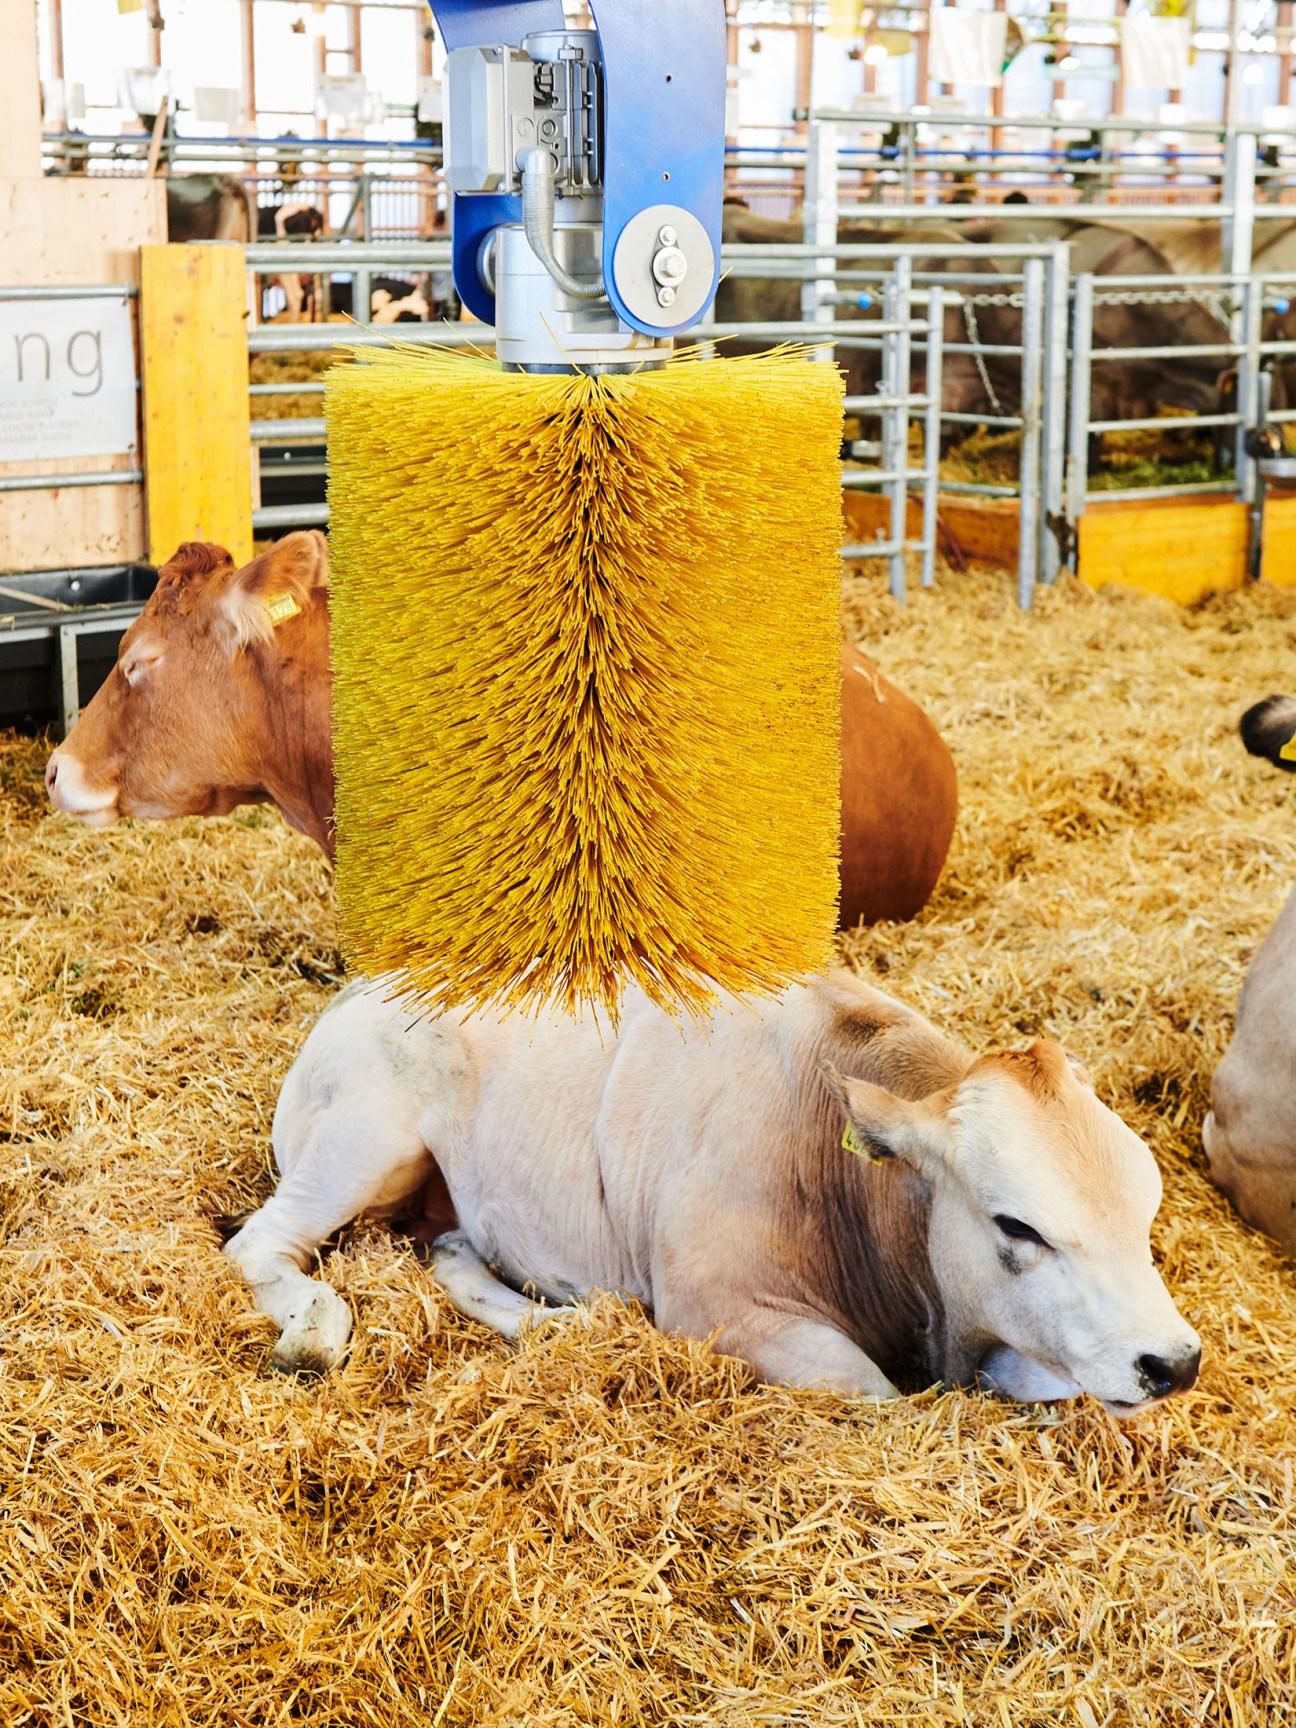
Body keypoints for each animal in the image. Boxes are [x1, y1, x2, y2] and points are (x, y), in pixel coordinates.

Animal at [224, 967, 1202, 1413]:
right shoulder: (723, 1306)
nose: (1175, 1363)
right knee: (257, 1244)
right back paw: (314, 1332)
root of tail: (361, 987)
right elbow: (874, 1395)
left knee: (454, 1254)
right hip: (363, 1140)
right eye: (1017, 1225)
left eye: (1146, 1211)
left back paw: (566, 1322)